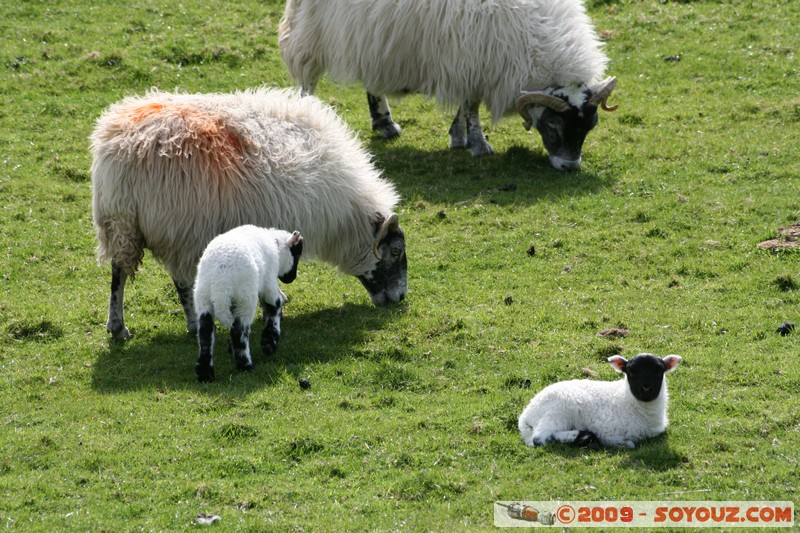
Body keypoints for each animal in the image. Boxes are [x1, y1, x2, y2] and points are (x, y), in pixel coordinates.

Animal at [90, 85, 410, 338]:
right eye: (395, 251)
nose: (401, 297)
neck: (343, 217)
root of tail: (125, 148)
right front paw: (277, 297)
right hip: (179, 227)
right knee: (180, 281)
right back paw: (192, 324)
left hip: (121, 223)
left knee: (118, 271)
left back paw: (117, 327)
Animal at [193, 224, 304, 382]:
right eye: (296, 254)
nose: (292, 278)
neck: (274, 244)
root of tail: (220, 283)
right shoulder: (269, 283)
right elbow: (274, 308)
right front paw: (269, 342)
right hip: (244, 298)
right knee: (239, 331)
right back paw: (245, 365)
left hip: (204, 298)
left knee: (205, 334)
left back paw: (205, 374)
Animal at [280, 0, 620, 169]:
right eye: (553, 126)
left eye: (589, 127)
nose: (570, 166)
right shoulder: (473, 60)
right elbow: (471, 106)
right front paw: (479, 145)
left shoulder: (470, 63)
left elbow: (465, 105)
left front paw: (459, 136)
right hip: (312, 30)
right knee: (307, 77)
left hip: (371, 37)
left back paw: (385, 123)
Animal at [520, 354, 680, 448]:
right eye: (631, 372)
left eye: (659, 371)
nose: (646, 388)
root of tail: (526, 415)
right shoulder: (608, 430)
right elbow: (628, 443)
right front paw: (624, 444)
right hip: (557, 412)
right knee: (539, 438)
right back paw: (581, 436)